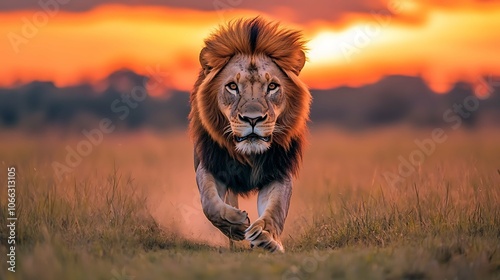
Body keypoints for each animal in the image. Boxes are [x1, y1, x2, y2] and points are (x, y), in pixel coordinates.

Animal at [189, 17, 310, 254]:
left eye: (272, 86)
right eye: (232, 86)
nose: (252, 119)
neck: (249, 155)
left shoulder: (277, 172)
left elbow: (276, 208)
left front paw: (266, 238)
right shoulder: (210, 166)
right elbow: (210, 203)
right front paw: (235, 224)